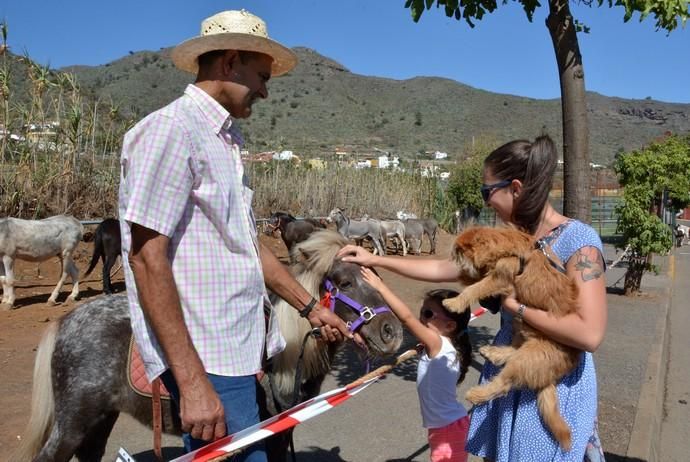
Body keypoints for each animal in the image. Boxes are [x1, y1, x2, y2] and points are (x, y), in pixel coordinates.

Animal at [13, 230, 404, 462]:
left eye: (375, 277)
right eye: (344, 282)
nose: (392, 332)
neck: (282, 357)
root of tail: (66, 323)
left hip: (99, 420)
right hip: (73, 424)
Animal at [438, 226, 576, 450]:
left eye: (458, 253)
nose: (454, 264)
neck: (504, 248)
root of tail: (552, 374)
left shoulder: (499, 278)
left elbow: (475, 288)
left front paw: (455, 302)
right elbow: (475, 282)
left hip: (530, 354)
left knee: (504, 383)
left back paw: (477, 394)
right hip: (522, 329)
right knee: (513, 351)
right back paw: (493, 352)